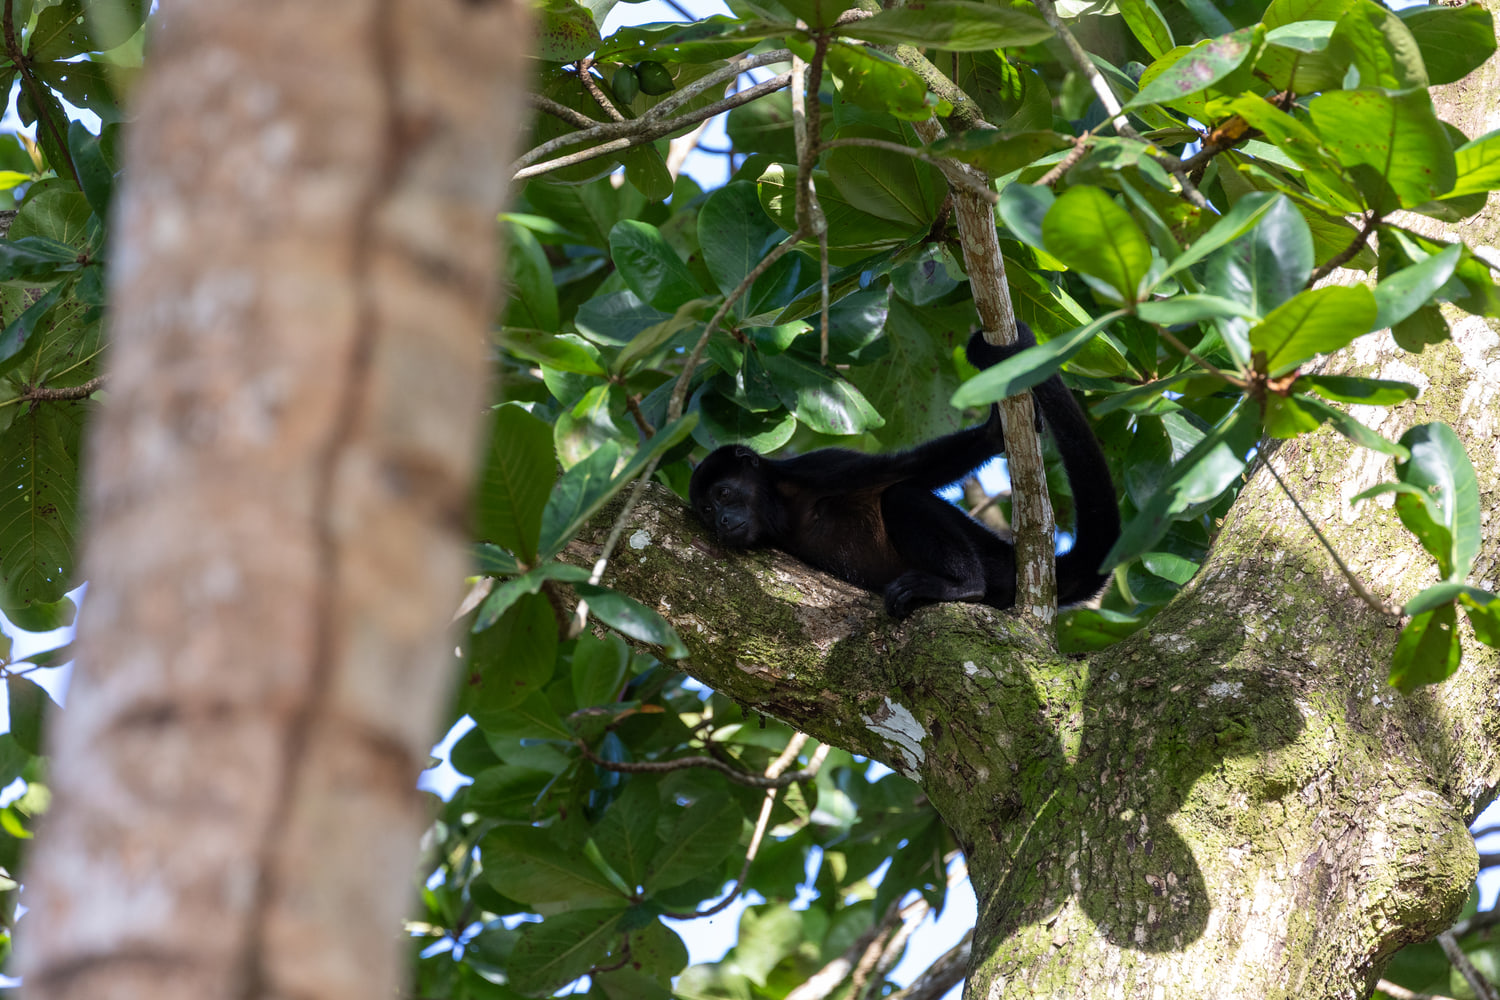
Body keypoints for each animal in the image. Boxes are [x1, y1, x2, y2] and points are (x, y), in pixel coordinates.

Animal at [688, 324, 1121, 618]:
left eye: (724, 493)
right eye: (706, 511)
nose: (722, 520)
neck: (781, 506)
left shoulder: (819, 469)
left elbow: (904, 472)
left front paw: (993, 433)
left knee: (901, 496)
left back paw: (963, 587)